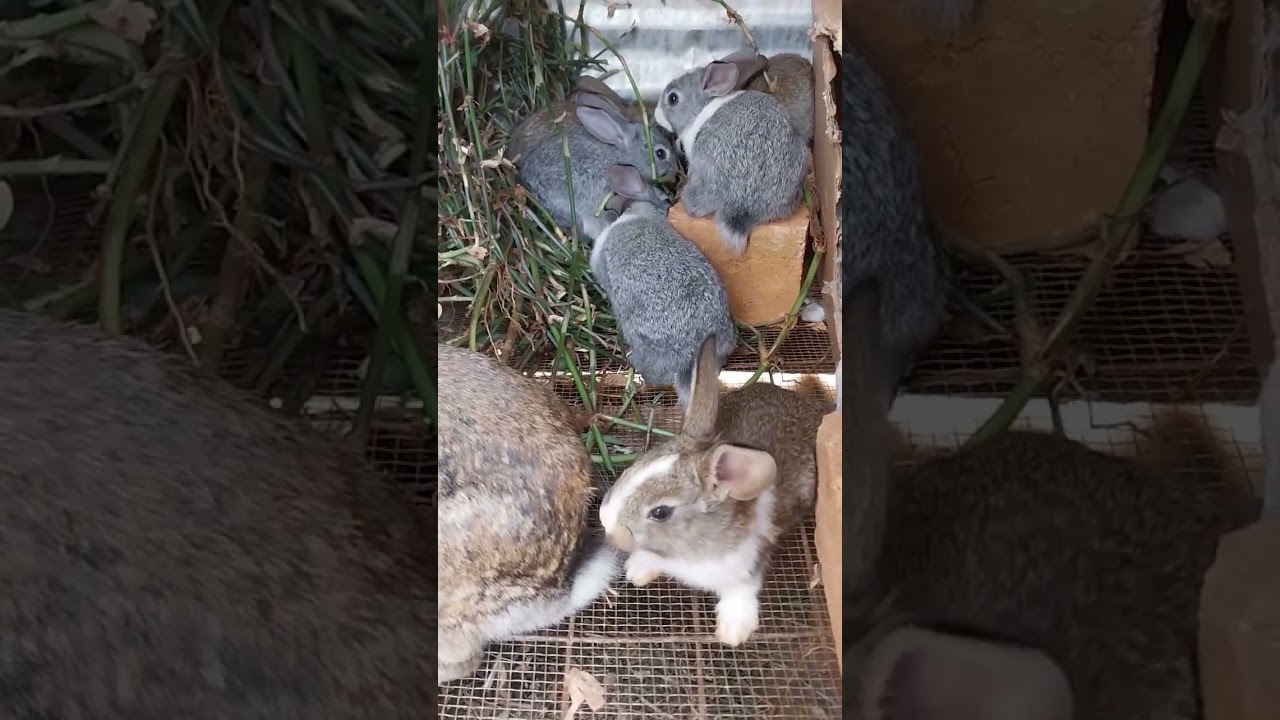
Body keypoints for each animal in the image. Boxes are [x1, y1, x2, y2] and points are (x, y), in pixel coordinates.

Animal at [598, 336, 832, 647]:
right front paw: (638, 571)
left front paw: (734, 631)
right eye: (638, 464)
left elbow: (742, 590)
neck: (688, 550)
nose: (606, 522)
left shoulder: (746, 566)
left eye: (660, 512)